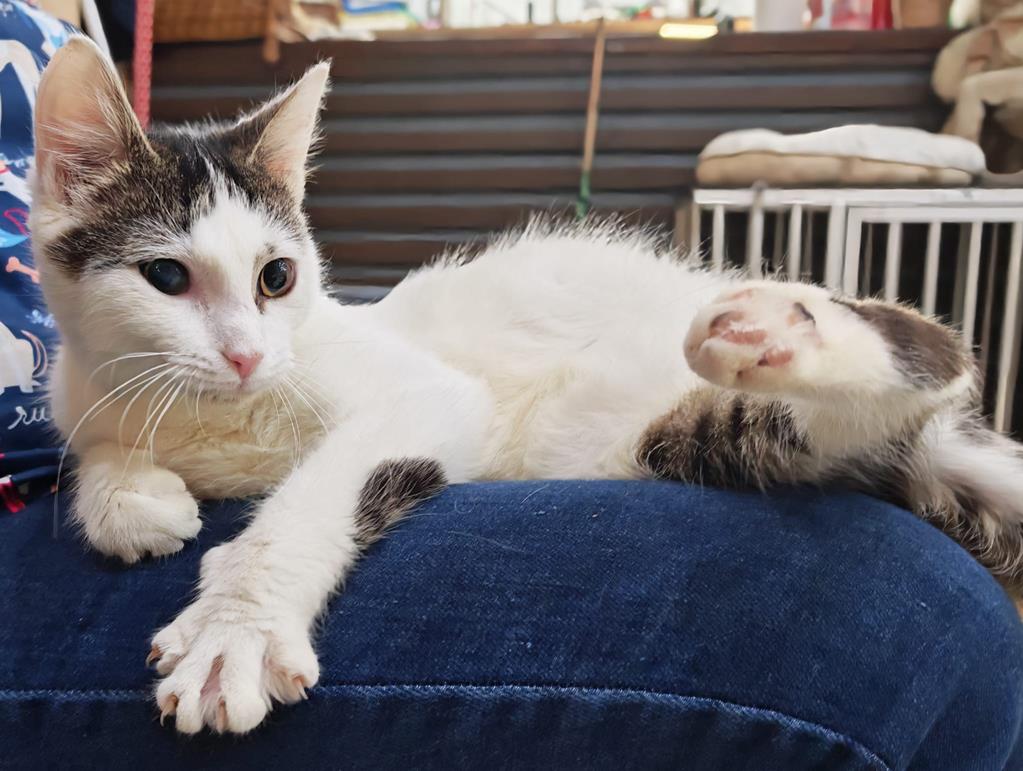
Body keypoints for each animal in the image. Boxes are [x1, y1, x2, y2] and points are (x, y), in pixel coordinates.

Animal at [32, 37, 1023, 735]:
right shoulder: (91, 393)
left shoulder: (421, 391)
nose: (244, 356)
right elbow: (100, 444)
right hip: (664, 439)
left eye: (277, 277)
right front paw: (129, 499)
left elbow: (321, 484)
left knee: (942, 350)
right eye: (167, 277)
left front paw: (235, 623)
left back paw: (786, 327)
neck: (212, 418)